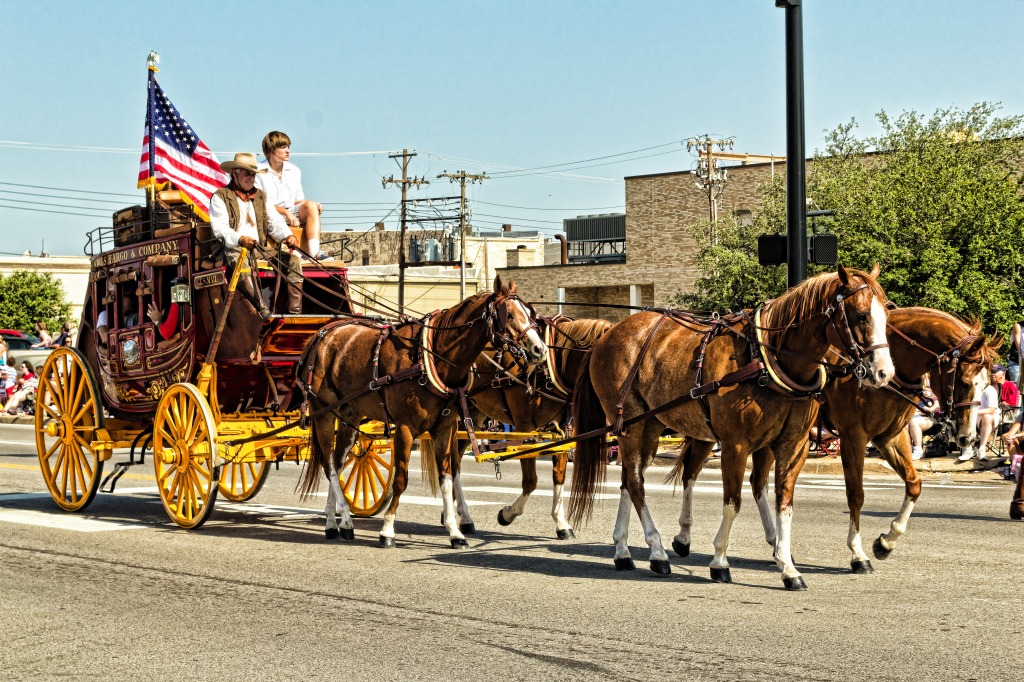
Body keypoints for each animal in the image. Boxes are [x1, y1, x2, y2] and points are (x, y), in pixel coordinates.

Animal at [299, 276, 548, 548]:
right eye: (509, 315)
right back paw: (341, 517)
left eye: (530, 314)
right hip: (323, 412)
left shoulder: (445, 428)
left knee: (337, 461)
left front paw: (454, 531)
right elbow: (401, 479)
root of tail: (321, 334)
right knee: (329, 466)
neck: (433, 356)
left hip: (348, 416)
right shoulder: (405, 428)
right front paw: (387, 530)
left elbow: (447, 478)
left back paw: (336, 523)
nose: (540, 349)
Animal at [450, 315, 610, 540]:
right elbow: (530, 481)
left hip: (473, 414)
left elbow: (559, 477)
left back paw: (461, 517)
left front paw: (561, 523)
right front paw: (507, 514)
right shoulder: (524, 428)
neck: (548, 368)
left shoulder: (562, 431)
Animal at [573, 262, 892, 585]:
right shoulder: (735, 445)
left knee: (630, 478)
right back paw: (657, 550)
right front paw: (719, 561)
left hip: (649, 426)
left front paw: (787, 566)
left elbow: (784, 503)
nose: (883, 372)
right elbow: (733, 501)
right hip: (629, 424)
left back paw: (623, 550)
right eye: (861, 315)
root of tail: (610, 332)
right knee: (637, 484)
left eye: (887, 314)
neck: (767, 359)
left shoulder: (793, 445)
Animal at [667, 307, 995, 573]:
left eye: (986, 384)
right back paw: (684, 535)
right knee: (692, 472)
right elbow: (856, 495)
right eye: (965, 381)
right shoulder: (855, 436)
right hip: (712, 431)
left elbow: (914, 485)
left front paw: (886, 541)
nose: (965, 436)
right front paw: (858, 554)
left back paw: (775, 542)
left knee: (755, 481)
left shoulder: (890, 436)